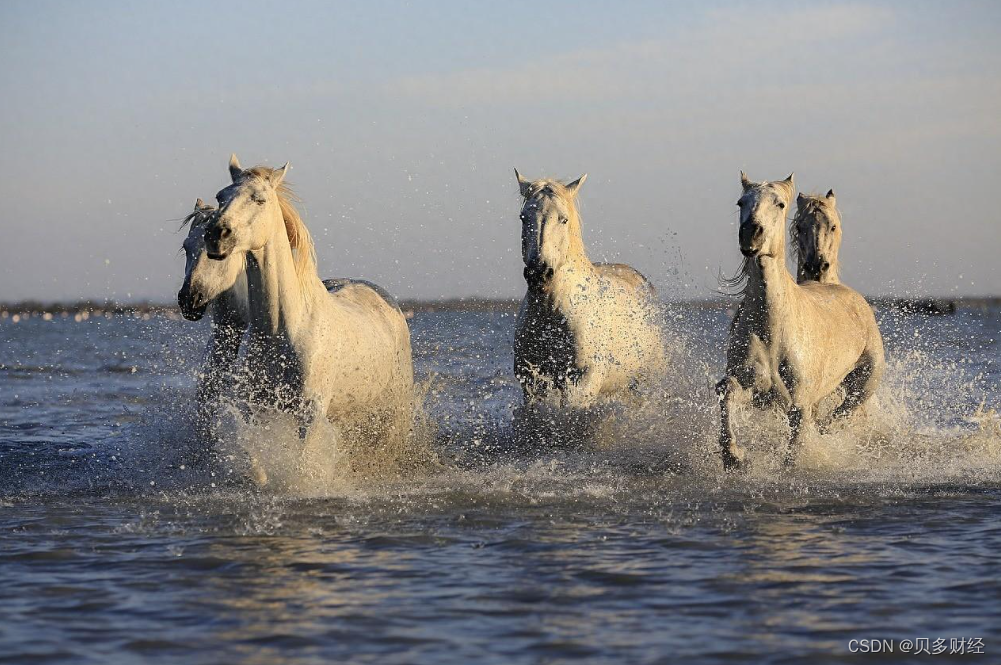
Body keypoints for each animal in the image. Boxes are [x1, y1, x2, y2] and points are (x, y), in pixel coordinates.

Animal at [512, 170, 668, 410]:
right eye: (523, 217)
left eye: (563, 219)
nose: (539, 273)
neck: (552, 313)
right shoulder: (532, 383)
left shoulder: (582, 382)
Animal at [716, 174, 888, 470]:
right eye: (741, 202)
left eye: (780, 204)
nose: (751, 234)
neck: (773, 328)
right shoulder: (753, 387)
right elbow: (726, 393)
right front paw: (733, 456)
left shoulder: (799, 403)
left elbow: (795, 447)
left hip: (864, 382)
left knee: (844, 412)